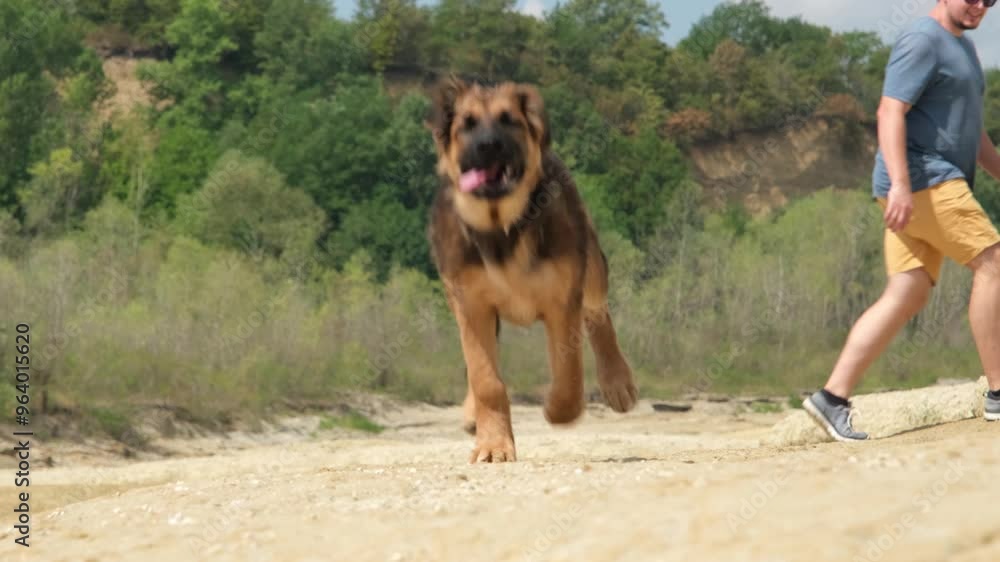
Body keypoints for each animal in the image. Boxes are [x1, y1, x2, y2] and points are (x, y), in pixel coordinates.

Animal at [426, 75, 636, 460]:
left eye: (509, 120)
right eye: (466, 125)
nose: (488, 146)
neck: (502, 225)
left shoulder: (562, 299)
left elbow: (568, 371)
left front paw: (558, 409)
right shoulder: (471, 304)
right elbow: (485, 378)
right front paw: (493, 444)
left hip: (592, 265)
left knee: (598, 314)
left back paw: (618, 382)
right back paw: (471, 413)